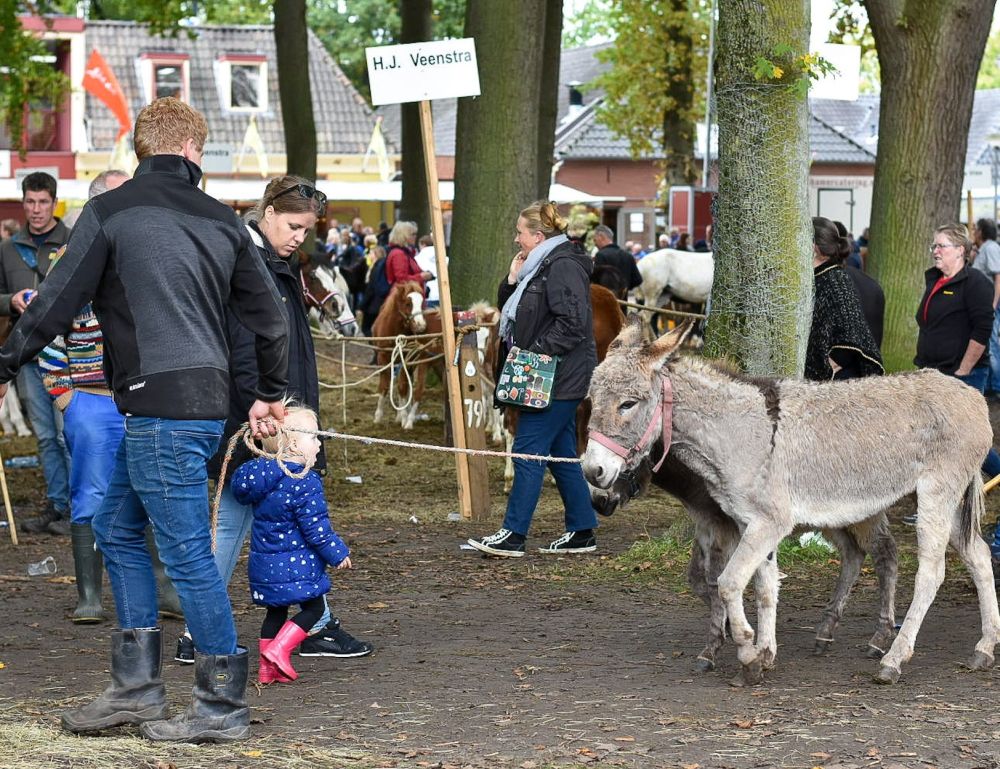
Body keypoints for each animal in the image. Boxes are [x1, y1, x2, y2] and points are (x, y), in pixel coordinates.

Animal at [372, 280, 442, 428]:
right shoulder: (382, 357)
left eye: (422, 303)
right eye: (408, 304)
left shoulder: (407, 358)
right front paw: (378, 416)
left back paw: (404, 414)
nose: (421, 326)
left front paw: (404, 417)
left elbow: (403, 386)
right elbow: (384, 385)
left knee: (405, 385)